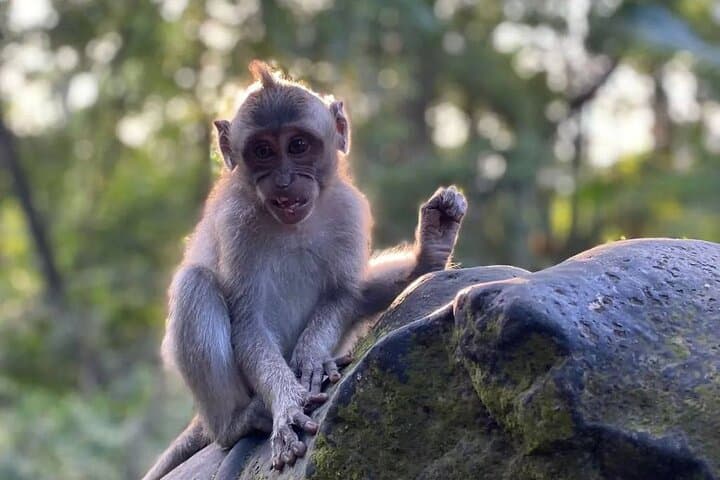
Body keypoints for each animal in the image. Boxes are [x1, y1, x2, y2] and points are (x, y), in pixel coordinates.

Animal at [142, 60, 467, 480]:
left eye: (298, 145)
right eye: (263, 151)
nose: (284, 180)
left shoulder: (348, 210)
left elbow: (345, 294)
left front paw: (312, 356)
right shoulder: (234, 222)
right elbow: (248, 321)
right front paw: (286, 404)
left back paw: (429, 253)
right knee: (195, 283)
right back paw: (237, 422)